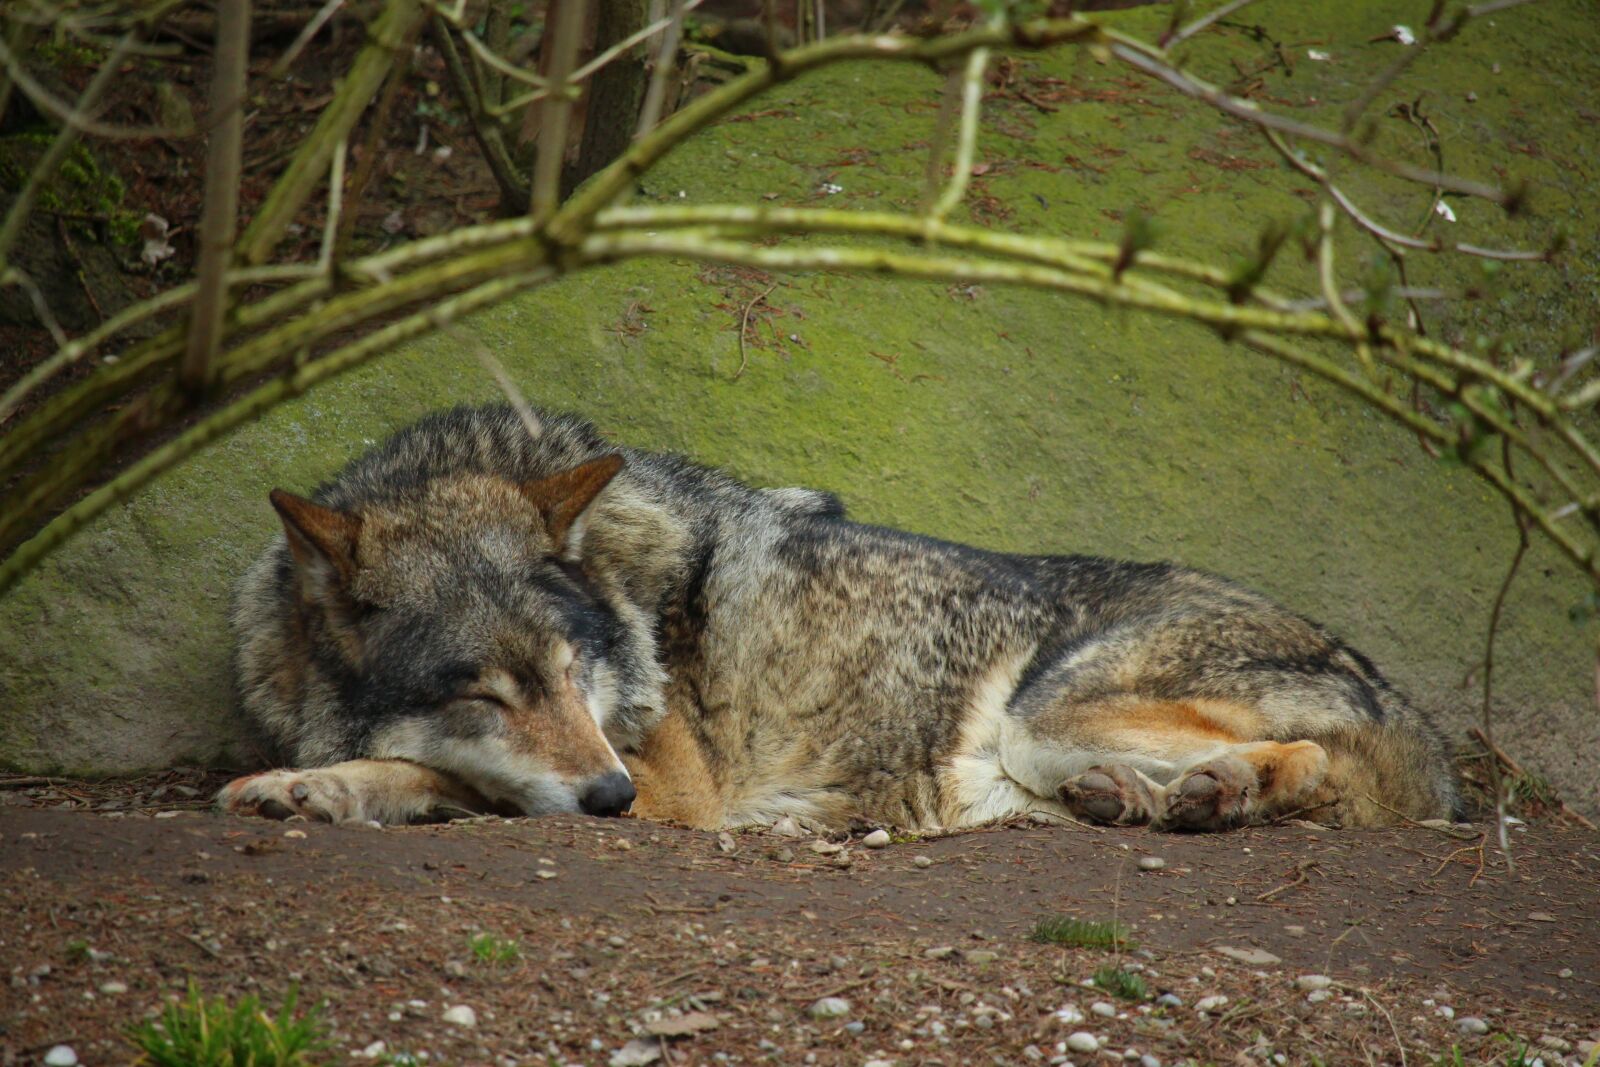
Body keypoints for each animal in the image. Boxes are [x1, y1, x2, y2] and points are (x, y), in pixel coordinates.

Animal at [222, 404, 1465, 831]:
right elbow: (432, 766)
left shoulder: (670, 786)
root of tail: (1398, 689)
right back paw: (1156, 800)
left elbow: (444, 773)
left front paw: (331, 783)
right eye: (484, 689)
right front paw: (306, 785)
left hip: (1046, 716)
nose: (610, 796)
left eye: (574, 672)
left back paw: (1212, 793)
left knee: (1307, 759)